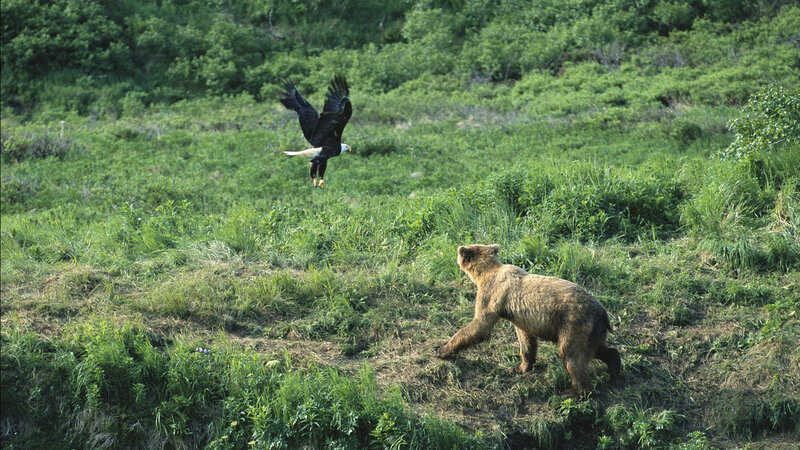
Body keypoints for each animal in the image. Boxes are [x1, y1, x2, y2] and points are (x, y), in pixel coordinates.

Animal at [432, 244, 621, 397]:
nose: (458, 249)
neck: (485, 273)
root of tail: (602, 312)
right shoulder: (520, 318)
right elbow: (526, 340)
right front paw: (521, 367)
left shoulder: (492, 294)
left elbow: (480, 326)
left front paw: (440, 349)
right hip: (592, 331)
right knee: (597, 350)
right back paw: (615, 370)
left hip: (573, 324)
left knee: (571, 356)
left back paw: (573, 391)